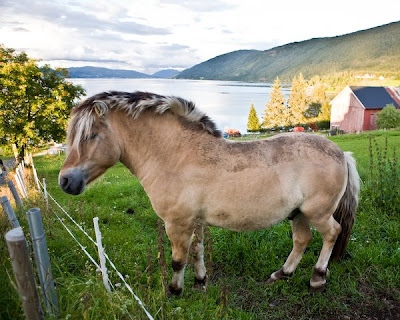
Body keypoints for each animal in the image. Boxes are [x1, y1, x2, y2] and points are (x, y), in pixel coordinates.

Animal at [58, 90, 360, 296]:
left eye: (89, 136)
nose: (65, 181)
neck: (176, 157)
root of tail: (341, 152)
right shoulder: (195, 222)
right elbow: (197, 251)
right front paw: (200, 282)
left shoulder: (177, 223)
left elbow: (178, 260)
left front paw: (174, 291)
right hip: (298, 214)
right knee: (301, 240)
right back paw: (281, 274)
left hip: (317, 213)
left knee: (331, 234)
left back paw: (317, 278)